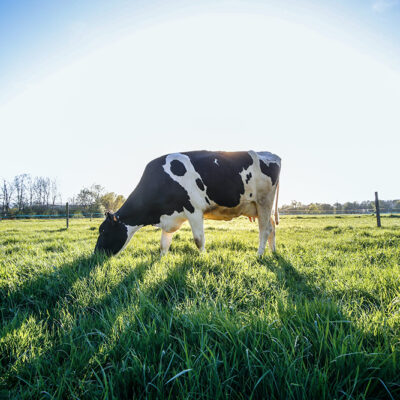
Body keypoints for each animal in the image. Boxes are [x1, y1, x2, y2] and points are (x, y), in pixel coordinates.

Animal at [95, 150, 280, 256]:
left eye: (103, 231)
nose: (96, 254)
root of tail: (270, 153)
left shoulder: (194, 210)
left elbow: (199, 240)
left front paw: (204, 258)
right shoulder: (170, 216)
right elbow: (163, 244)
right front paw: (161, 260)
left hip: (264, 201)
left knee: (264, 230)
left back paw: (259, 255)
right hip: (262, 207)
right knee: (272, 228)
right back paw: (273, 252)